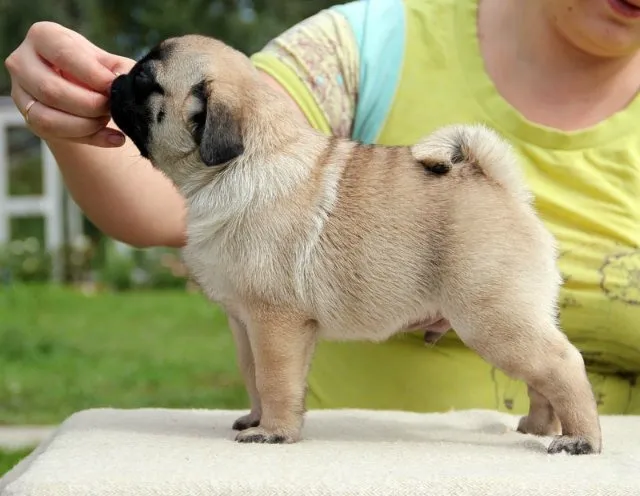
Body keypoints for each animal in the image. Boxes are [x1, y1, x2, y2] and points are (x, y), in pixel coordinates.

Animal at [109, 34, 600, 454]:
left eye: (146, 82)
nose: (115, 78)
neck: (240, 163)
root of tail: (501, 186)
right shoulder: (244, 324)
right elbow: (253, 376)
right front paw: (257, 419)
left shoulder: (274, 324)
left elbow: (275, 380)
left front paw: (274, 433)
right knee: (542, 378)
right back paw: (539, 426)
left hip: (493, 319)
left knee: (563, 365)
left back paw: (580, 439)